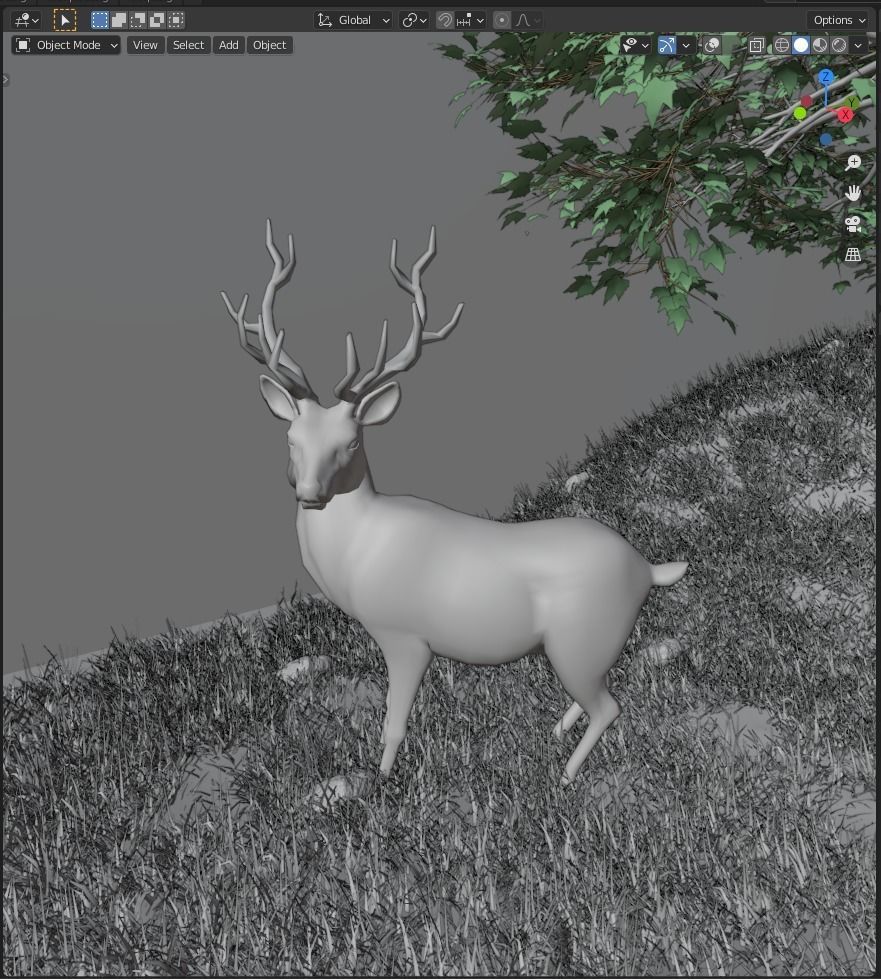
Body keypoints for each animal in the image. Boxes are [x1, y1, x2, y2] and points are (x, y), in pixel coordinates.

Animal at [221, 220, 688, 787]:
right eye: (291, 438)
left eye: (351, 443)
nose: (309, 494)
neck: (356, 556)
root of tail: (648, 570)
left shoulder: (405, 637)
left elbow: (394, 722)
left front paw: (383, 781)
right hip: (586, 646)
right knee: (600, 693)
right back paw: (554, 734)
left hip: (579, 640)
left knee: (610, 706)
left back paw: (566, 775)